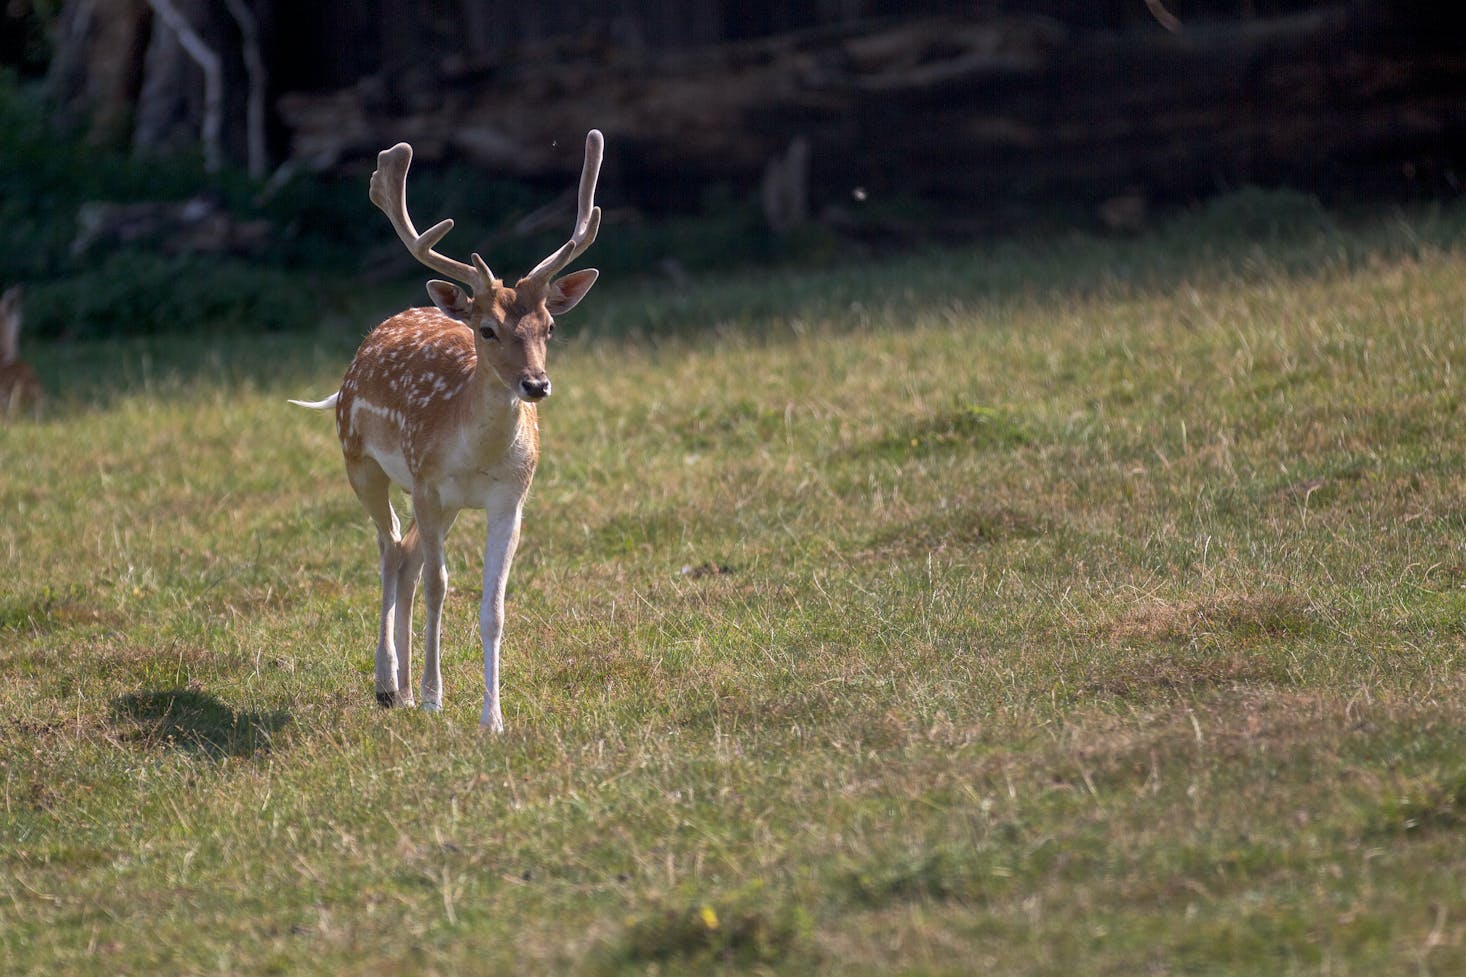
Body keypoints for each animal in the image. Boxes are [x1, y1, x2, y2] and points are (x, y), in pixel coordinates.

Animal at [291, 129, 601, 727]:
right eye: (487, 329)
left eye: (549, 325)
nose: (535, 384)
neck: (477, 455)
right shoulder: (428, 483)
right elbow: (439, 586)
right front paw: (437, 697)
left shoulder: (511, 498)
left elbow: (493, 606)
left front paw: (492, 718)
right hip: (361, 460)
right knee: (390, 549)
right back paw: (389, 684)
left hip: (442, 500)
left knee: (407, 555)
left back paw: (404, 690)